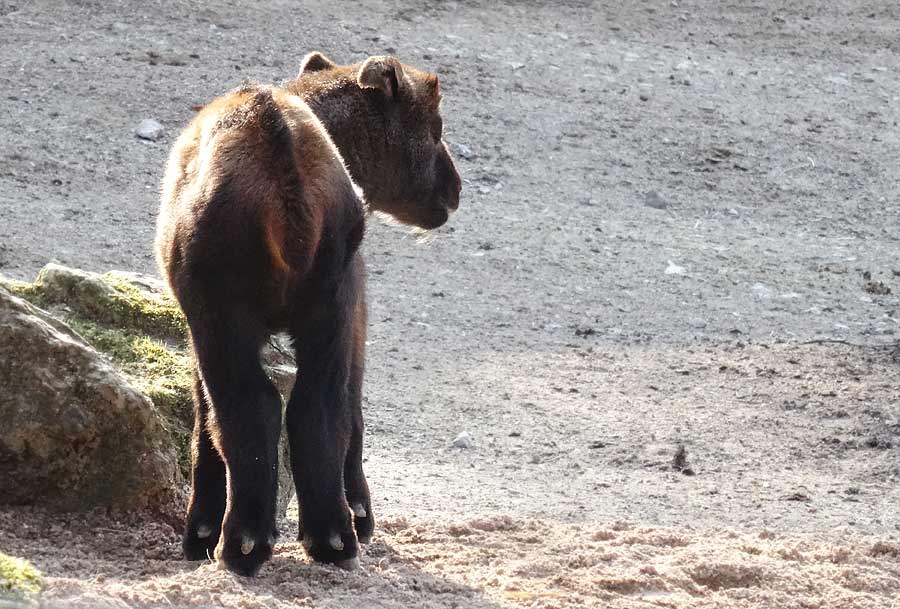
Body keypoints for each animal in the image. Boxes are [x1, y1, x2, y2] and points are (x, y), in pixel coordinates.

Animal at [155, 52, 460, 576]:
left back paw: (241, 544)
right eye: (433, 127)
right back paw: (334, 537)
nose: (454, 189)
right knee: (320, 405)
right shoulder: (352, 304)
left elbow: (203, 419)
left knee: (249, 407)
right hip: (327, 307)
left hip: (224, 318)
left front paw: (200, 533)